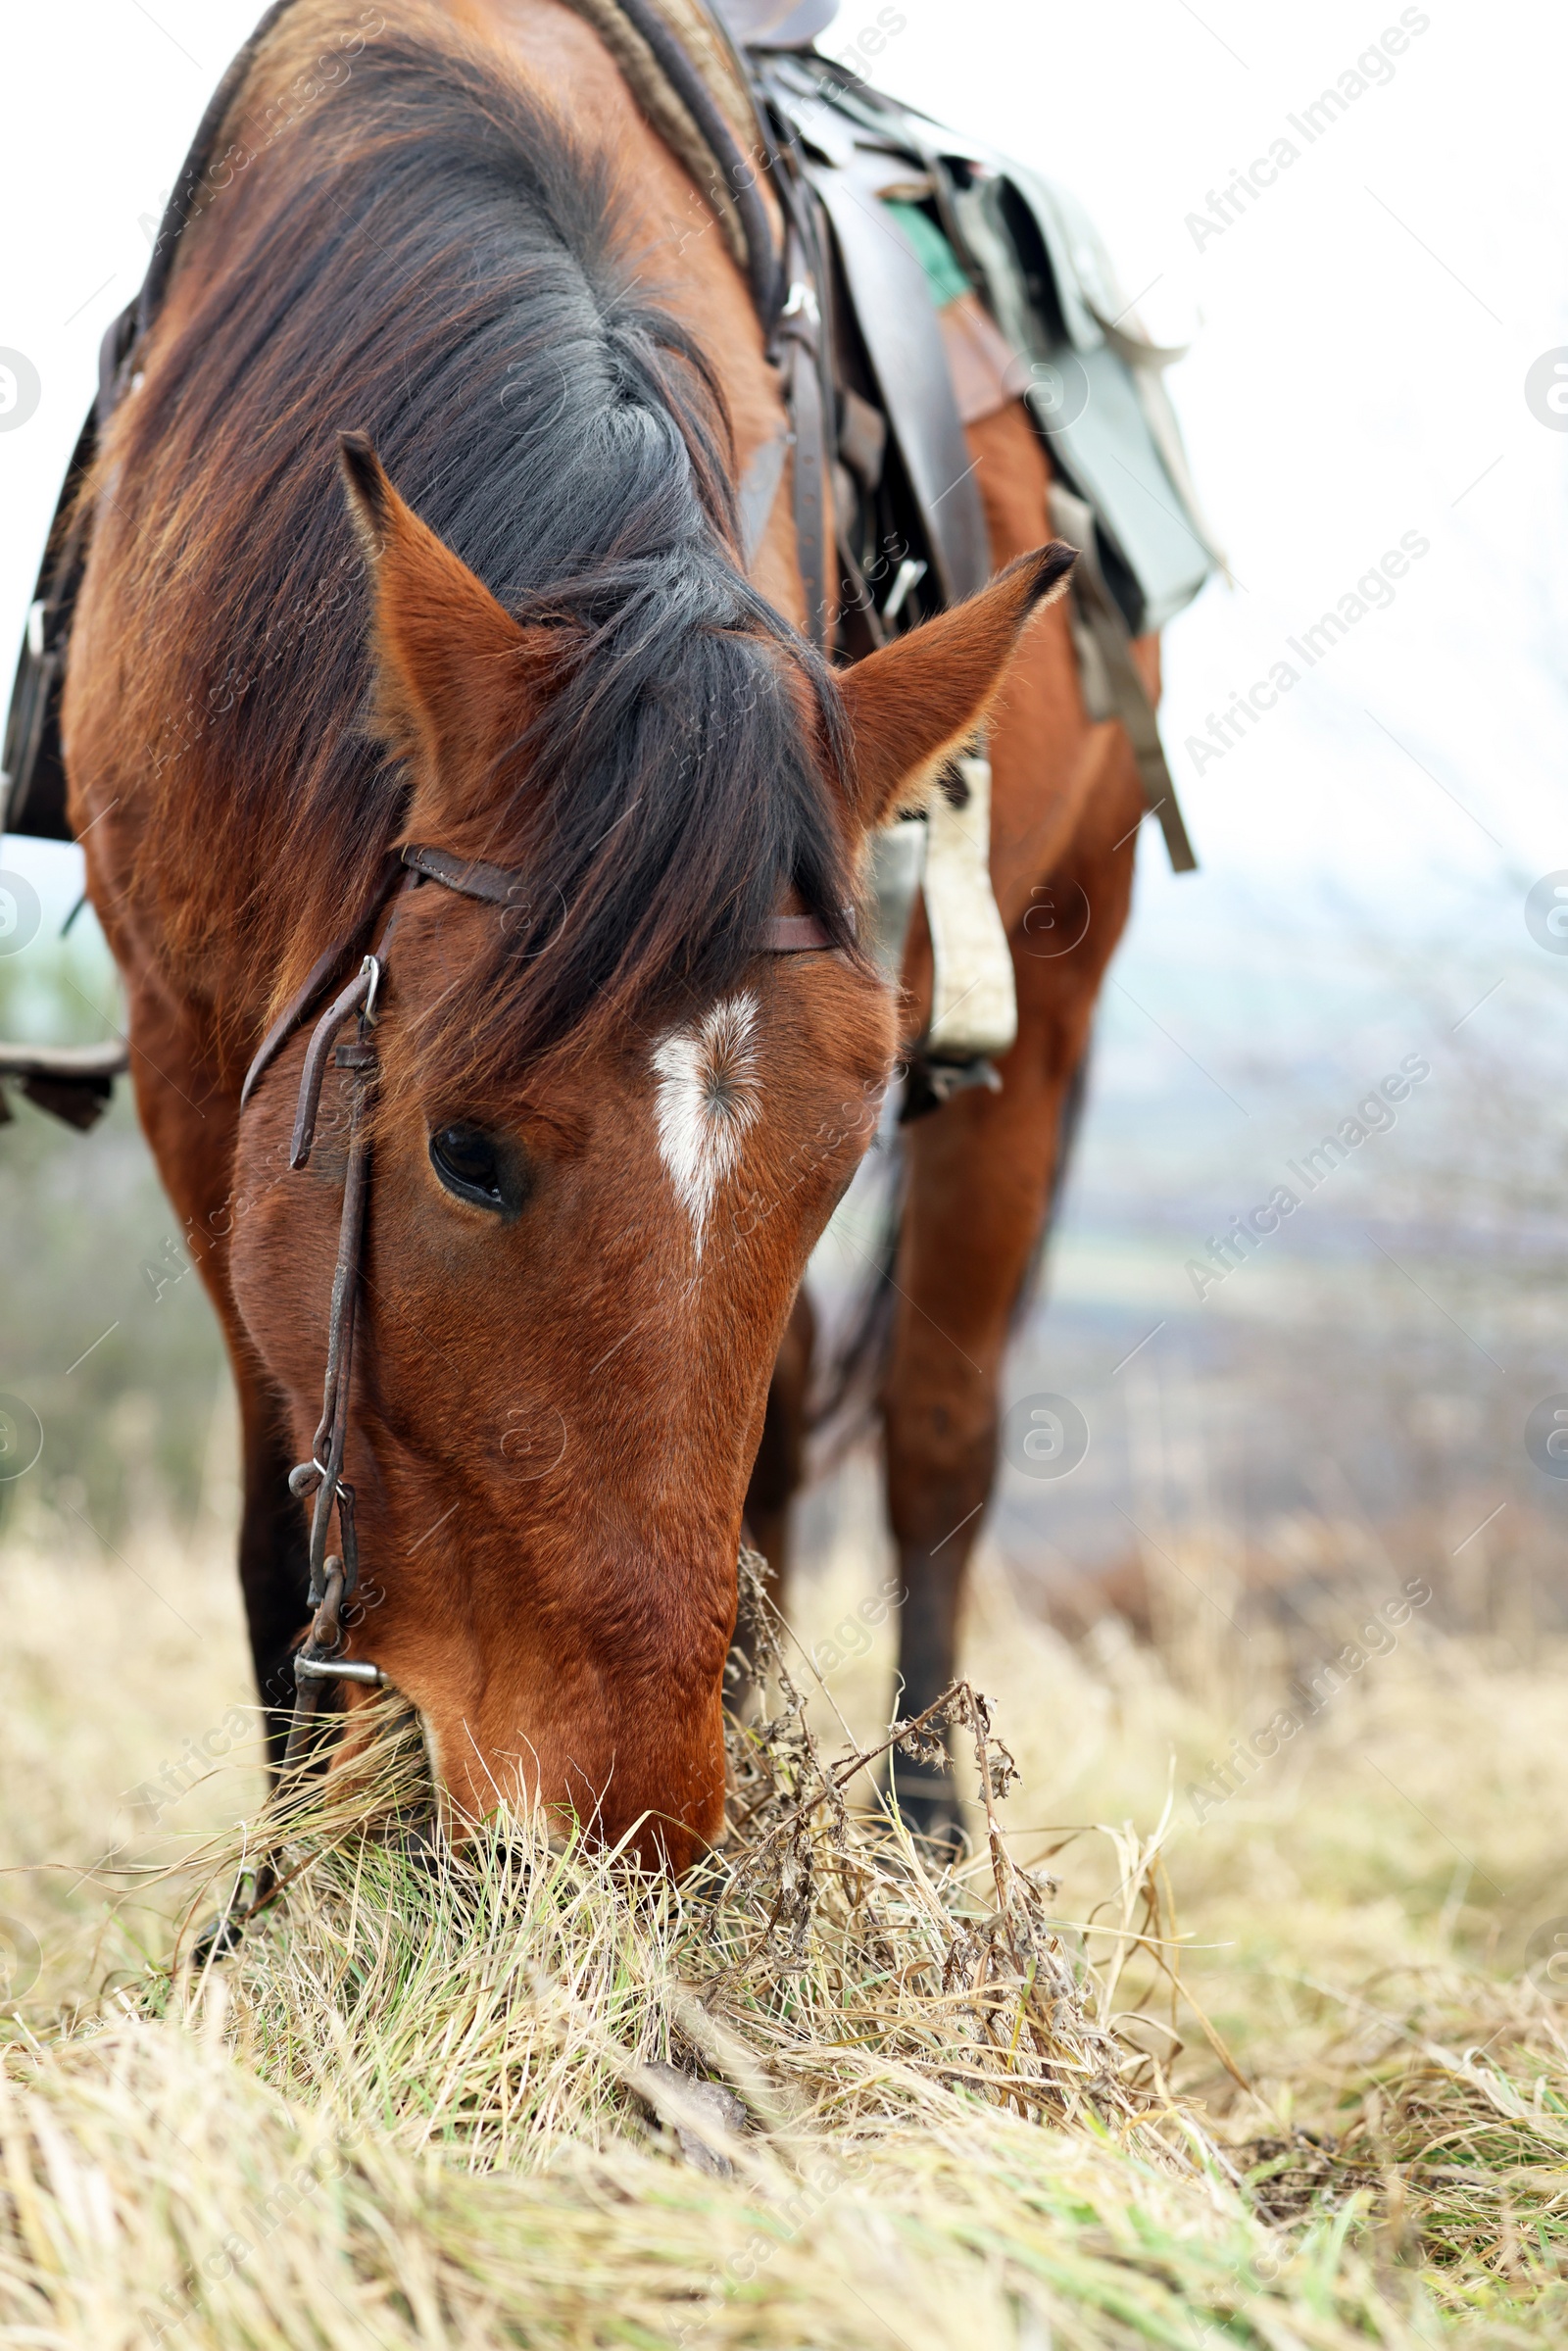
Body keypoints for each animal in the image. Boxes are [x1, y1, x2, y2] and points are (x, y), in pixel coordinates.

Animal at [64, 4, 1091, 1871]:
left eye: (835, 1164)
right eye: (462, 1153)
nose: (634, 1823)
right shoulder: (185, 1040)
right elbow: (274, 1538)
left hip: (1048, 995)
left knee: (936, 1425)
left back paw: (922, 1832)